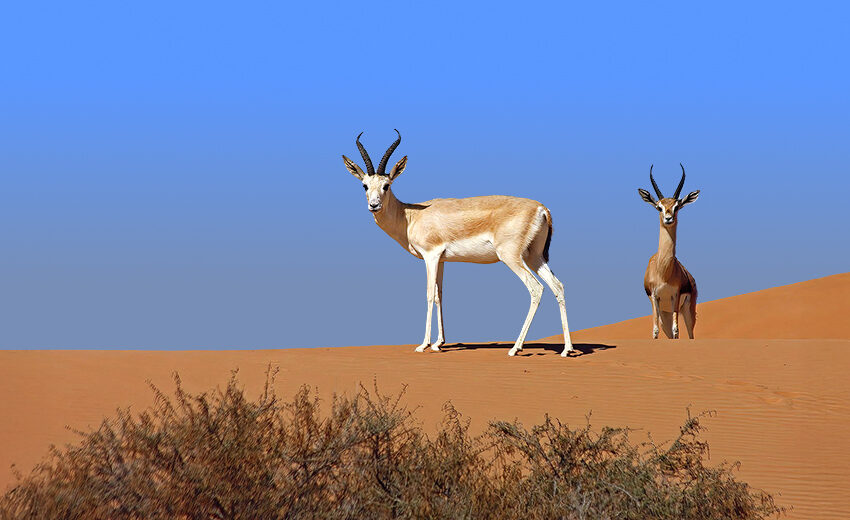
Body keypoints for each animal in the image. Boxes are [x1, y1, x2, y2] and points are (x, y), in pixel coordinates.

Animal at [342, 130, 573, 357]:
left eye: (386, 185)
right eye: (365, 185)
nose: (374, 205)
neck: (410, 216)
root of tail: (541, 208)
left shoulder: (431, 256)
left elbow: (429, 294)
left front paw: (424, 345)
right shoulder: (442, 260)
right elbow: (439, 296)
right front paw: (439, 343)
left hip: (511, 257)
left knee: (536, 288)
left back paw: (516, 348)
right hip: (534, 257)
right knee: (557, 286)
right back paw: (566, 349)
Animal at [637, 164, 700, 339]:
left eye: (676, 206)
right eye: (659, 207)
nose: (668, 218)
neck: (663, 270)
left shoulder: (675, 296)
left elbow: (676, 330)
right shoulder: (654, 297)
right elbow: (655, 331)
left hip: (686, 310)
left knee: (690, 334)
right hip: (664, 313)